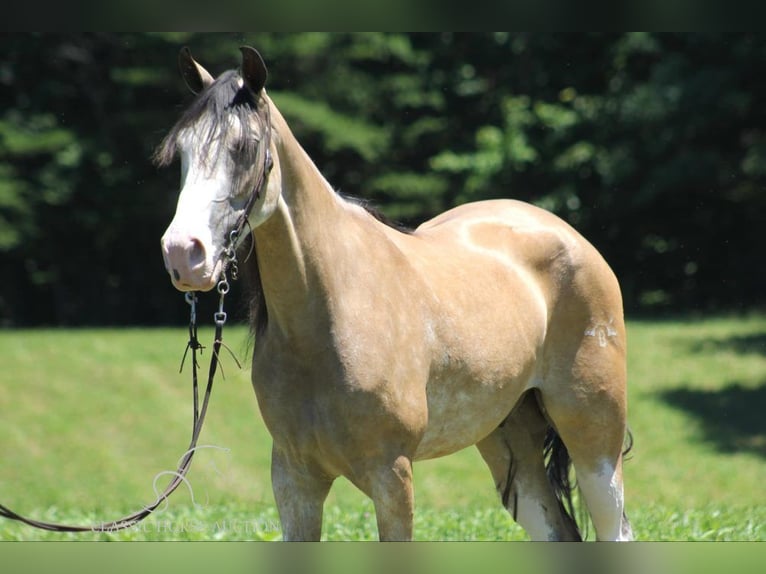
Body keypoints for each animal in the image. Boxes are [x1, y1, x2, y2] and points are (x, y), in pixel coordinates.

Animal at [158, 46, 636, 544]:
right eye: (183, 152)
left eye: (245, 148)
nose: (182, 253)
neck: (330, 311)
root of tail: (569, 237)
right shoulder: (295, 479)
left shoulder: (392, 475)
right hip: (508, 442)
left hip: (594, 439)